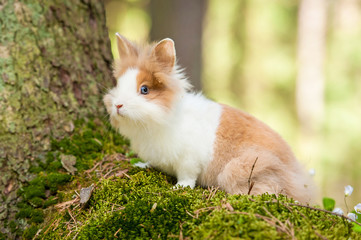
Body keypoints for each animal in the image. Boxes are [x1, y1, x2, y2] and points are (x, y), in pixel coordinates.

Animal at [102, 33, 314, 202]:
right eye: (118, 84)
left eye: (144, 89)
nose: (117, 105)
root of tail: (300, 178)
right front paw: (141, 164)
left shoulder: (189, 159)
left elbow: (187, 175)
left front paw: (179, 187)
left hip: (241, 168)